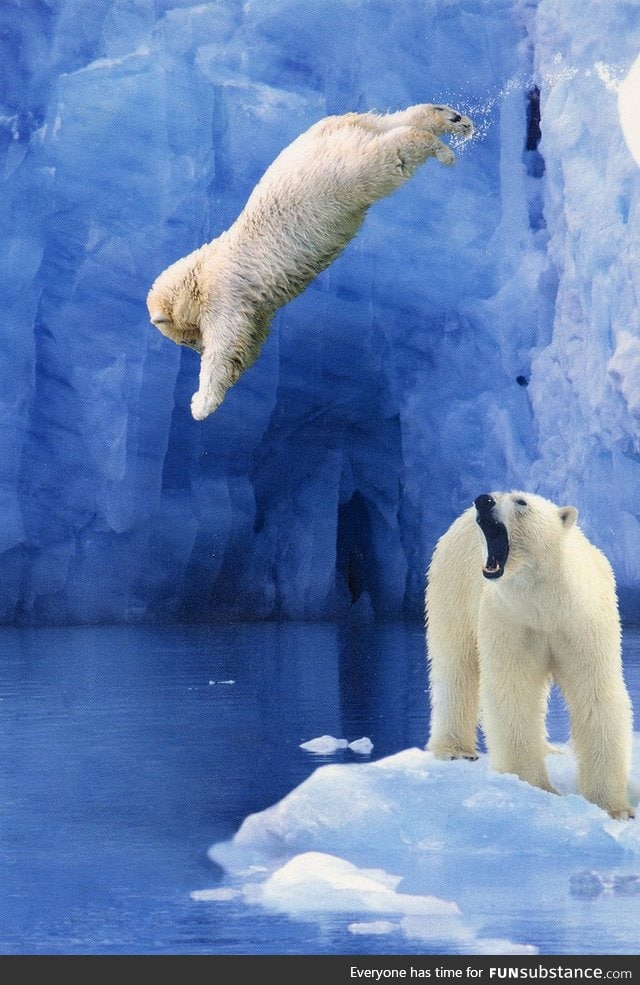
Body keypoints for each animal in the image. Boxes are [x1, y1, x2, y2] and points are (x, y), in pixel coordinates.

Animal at [146, 104, 476, 418]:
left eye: (185, 340)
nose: (197, 349)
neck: (200, 271)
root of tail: (331, 128)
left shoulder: (225, 292)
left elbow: (228, 340)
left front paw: (200, 405)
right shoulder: (254, 306)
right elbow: (251, 338)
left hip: (340, 175)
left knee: (393, 152)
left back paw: (443, 150)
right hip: (349, 135)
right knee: (396, 122)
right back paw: (452, 119)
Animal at [424, 488, 636, 820]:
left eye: (522, 502)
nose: (483, 500)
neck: (544, 603)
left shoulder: (581, 621)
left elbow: (595, 693)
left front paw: (616, 808)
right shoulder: (511, 620)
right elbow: (514, 690)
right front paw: (536, 785)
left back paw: (550, 748)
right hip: (452, 585)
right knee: (455, 663)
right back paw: (455, 750)